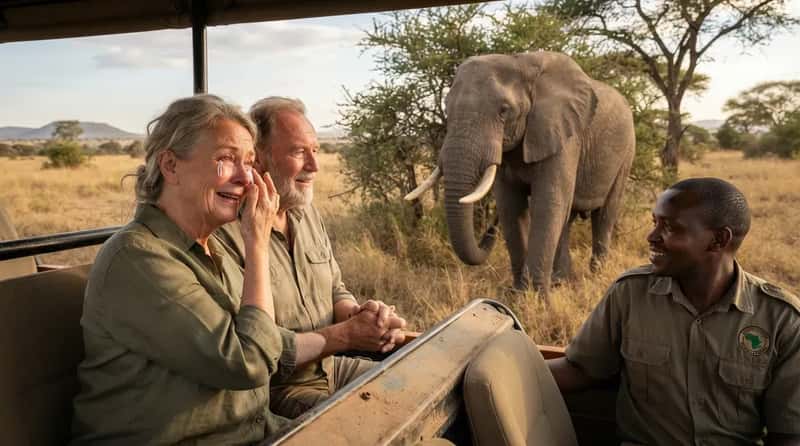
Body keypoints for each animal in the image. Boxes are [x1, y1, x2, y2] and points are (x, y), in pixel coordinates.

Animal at [406, 51, 635, 294]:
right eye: (447, 108)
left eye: (504, 111)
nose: (490, 227)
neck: (521, 62)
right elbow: (511, 206)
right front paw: (518, 294)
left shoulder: (563, 135)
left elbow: (548, 203)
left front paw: (537, 297)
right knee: (567, 218)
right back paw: (561, 281)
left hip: (626, 153)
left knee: (605, 214)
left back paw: (595, 276)